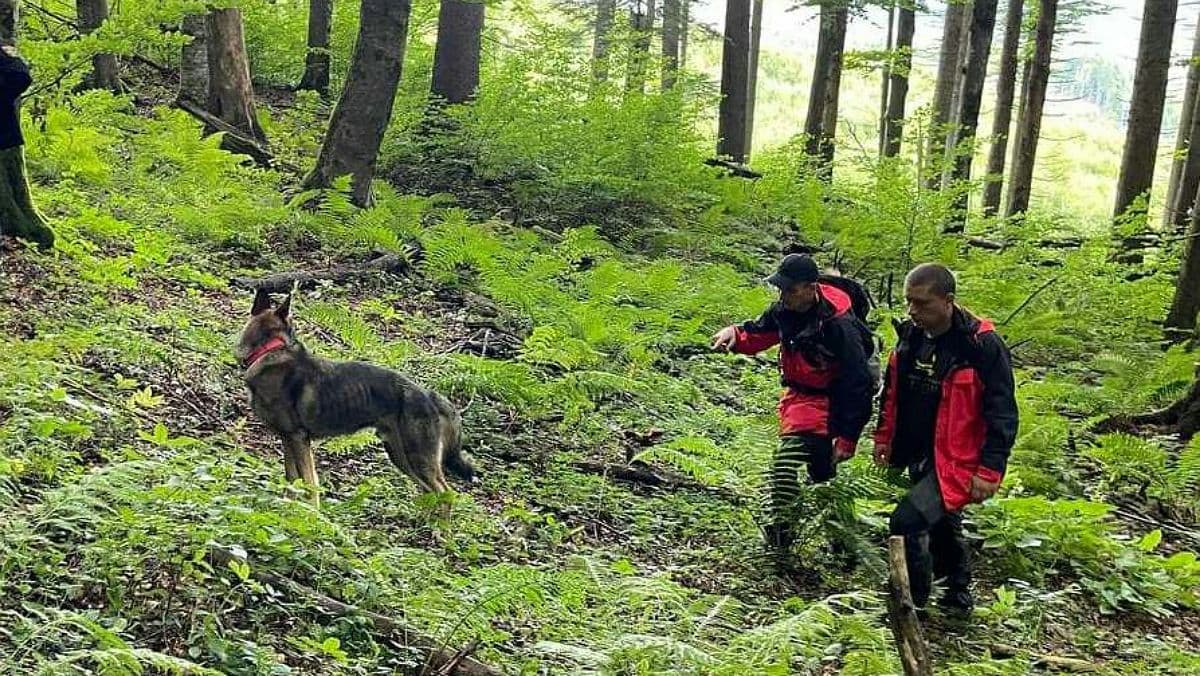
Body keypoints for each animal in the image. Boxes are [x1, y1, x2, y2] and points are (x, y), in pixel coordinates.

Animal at [234, 290, 477, 509]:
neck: (268, 350)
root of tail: (429, 395)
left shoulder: (298, 439)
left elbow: (309, 483)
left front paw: (311, 514)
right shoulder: (287, 439)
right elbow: (291, 481)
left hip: (417, 456)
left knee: (444, 493)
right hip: (401, 456)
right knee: (430, 492)